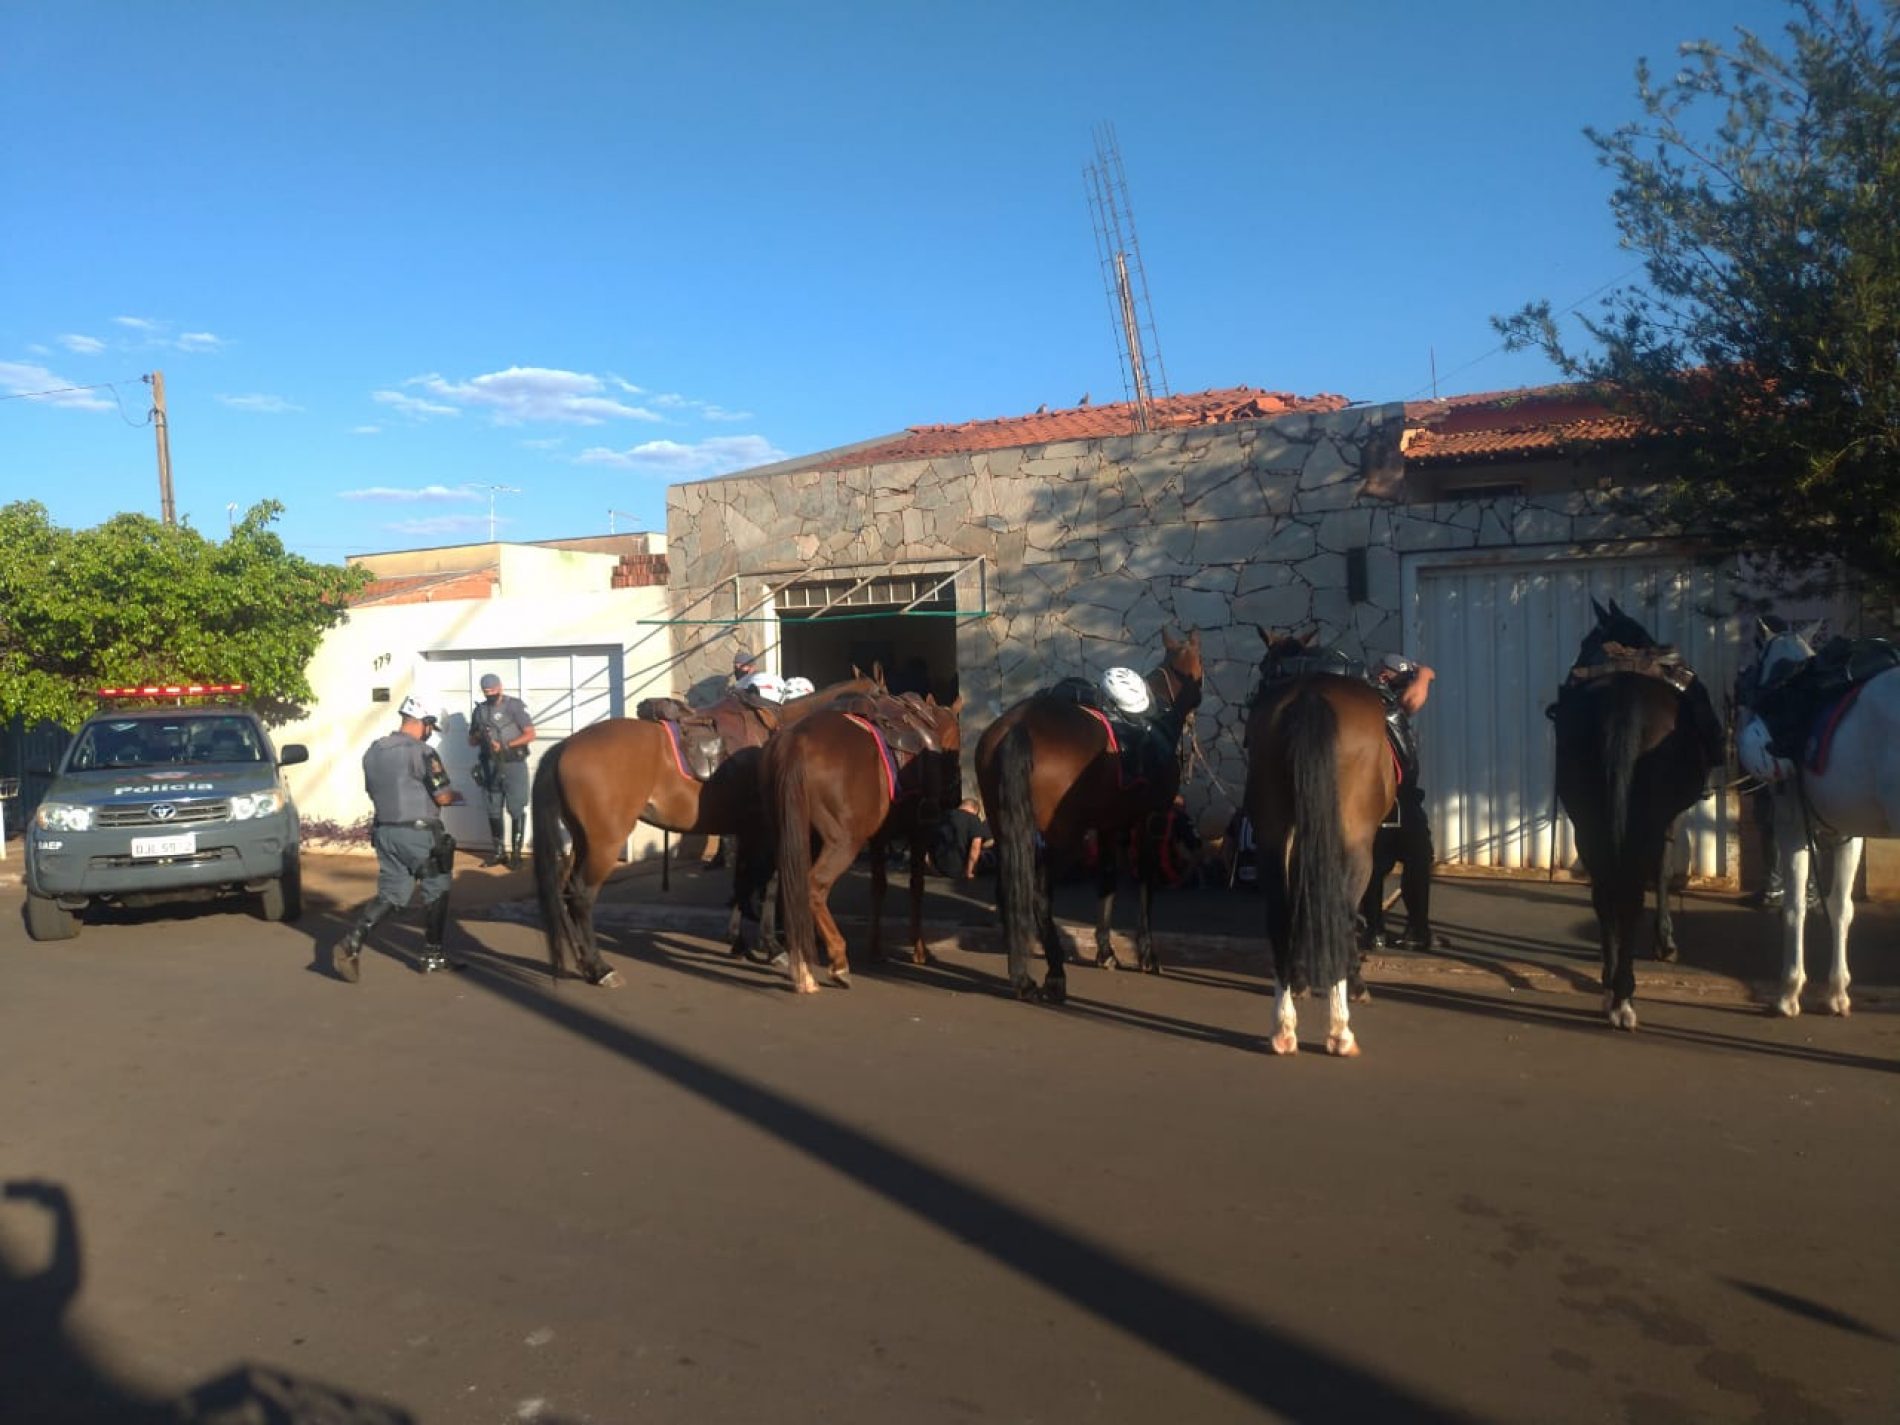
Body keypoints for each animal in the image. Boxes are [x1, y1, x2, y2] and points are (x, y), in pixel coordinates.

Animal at [532, 676, 877, 988]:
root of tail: (565, 745)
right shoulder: (768, 833)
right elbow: (768, 885)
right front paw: (770, 946)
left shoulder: (746, 832)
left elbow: (743, 883)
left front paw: (739, 941)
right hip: (604, 843)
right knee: (580, 897)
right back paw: (600, 968)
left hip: (583, 840)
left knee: (563, 890)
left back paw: (582, 961)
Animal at [760, 691, 957, 995]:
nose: (955, 797)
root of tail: (796, 742)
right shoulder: (919, 832)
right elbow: (916, 887)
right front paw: (920, 950)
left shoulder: (878, 839)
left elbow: (878, 887)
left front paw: (876, 948)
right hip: (844, 842)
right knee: (813, 885)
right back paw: (837, 961)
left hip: (789, 836)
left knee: (784, 886)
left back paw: (799, 965)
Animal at [980, 630, 1200, 1010]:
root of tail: (1018, 726)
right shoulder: (1151, 819)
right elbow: (1145, 882)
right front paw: (1147, 954)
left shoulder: (1108, 825)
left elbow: (1107, 881)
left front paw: (1106, 951)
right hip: (1063, 840)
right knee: (1039, 896)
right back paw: (1054, 976)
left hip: (1007, 829)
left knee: (1008, 891)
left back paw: (1022, 978)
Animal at [1238, 634, 1406, 1064]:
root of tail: (1311, 696)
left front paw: (1299, 982)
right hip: (1356, 847)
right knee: (1342, 913)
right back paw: (1340, 1029)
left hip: (1273, 837)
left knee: (1281, 916)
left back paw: (1283, 1028)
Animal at [1740, 623, 1900, 1018]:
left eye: (1756, 659)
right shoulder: (1849, 835)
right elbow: (1841, 907)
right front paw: (1836, 993)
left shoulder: (1791, 829)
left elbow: (1794, 907)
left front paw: (1788, 992)